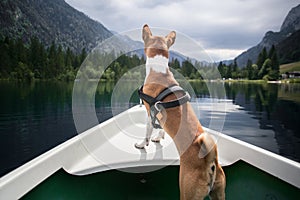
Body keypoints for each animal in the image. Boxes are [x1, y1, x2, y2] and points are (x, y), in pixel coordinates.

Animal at [135, 24, 225, 199]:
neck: (159, 69)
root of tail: (210, 163)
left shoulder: (150, 112)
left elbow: (147, 133)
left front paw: (143, 144)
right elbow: (160, 130)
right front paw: (159, 138)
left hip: (187, 191)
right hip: (219, 192)